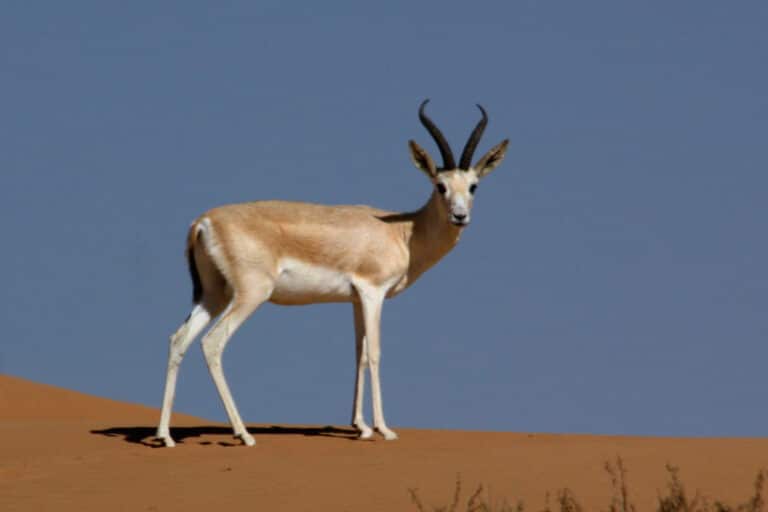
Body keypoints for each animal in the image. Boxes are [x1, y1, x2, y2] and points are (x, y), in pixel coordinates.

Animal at [156, 100, 509, 447]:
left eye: (473, 186)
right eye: (440, 186)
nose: (460, 216)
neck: (403, 232)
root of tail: (204, 221)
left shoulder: (355, 300)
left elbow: (359, 355)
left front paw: (360, 426)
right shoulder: (373, 292)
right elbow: (375, 353)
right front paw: (383, 429)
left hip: (213, 295)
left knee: (179, 339)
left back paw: (165, 435)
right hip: (250, 294)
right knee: (213, 343)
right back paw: (243, 433)